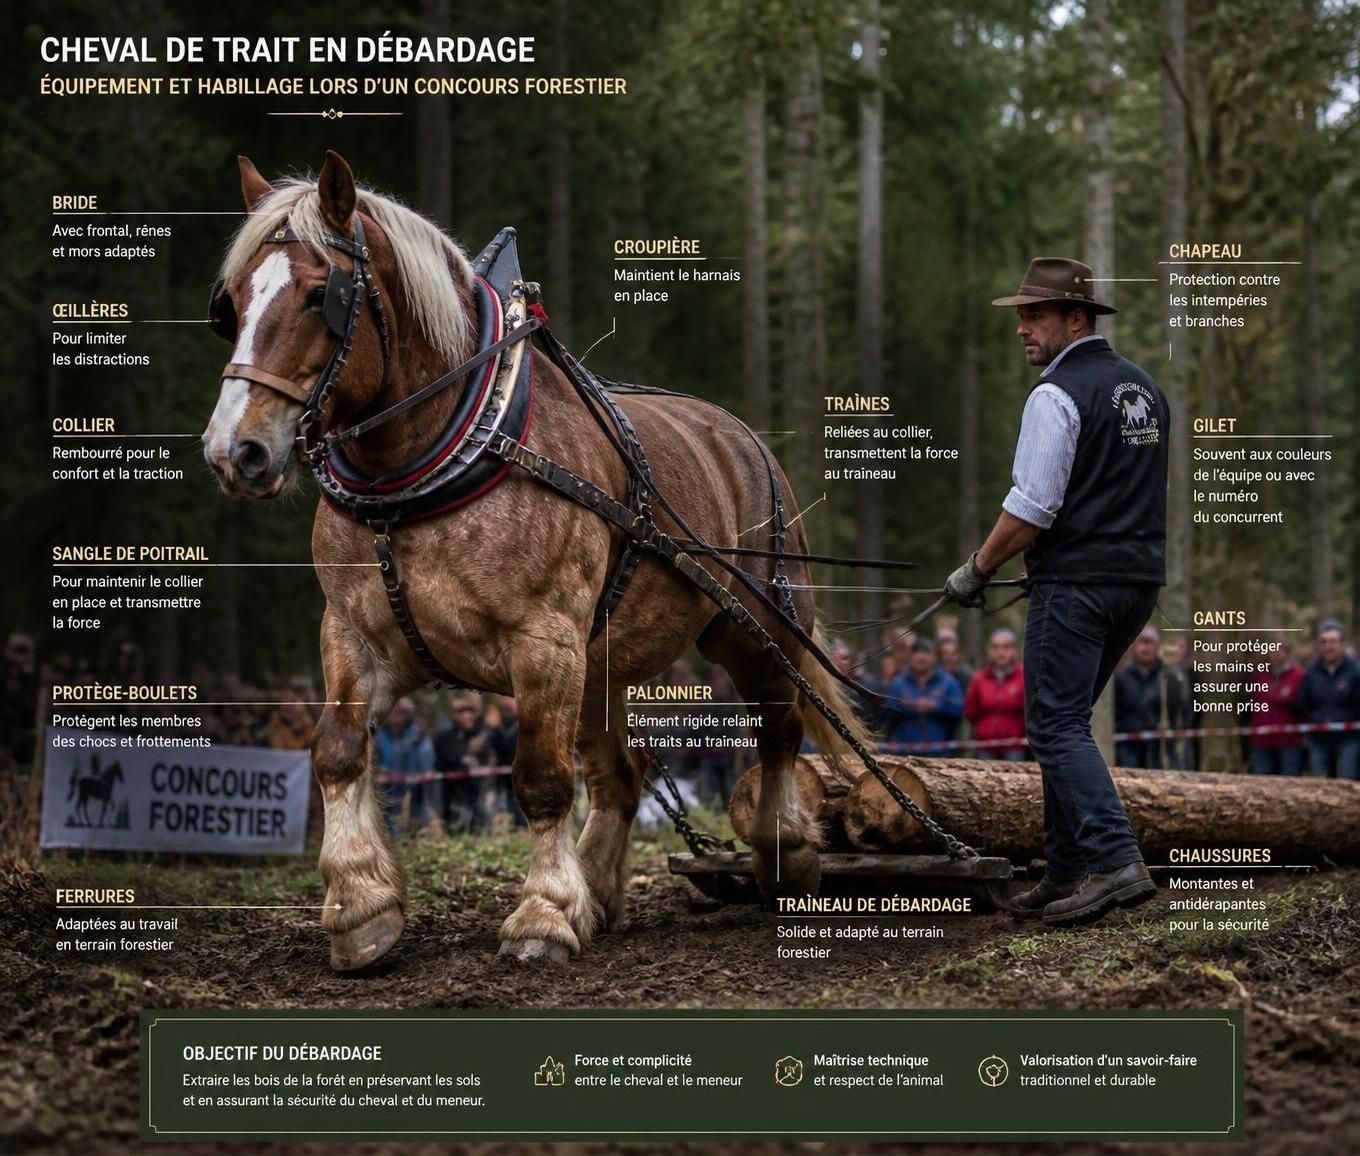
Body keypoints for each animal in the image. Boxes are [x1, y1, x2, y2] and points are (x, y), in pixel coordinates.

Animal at [202, 151, 867, 972]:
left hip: (756, 628)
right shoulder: (353, 635)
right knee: (620, 776)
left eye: (320, 294)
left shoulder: (544, 642)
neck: (427, 462)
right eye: (230, 304)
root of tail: (742, 436)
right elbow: (336, 752)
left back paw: (781, 855)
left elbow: (542, 780)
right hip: (603, 658)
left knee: (778, 730)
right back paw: (599, 889)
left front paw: (544, 916)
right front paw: (362, 906)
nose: (235, 451)